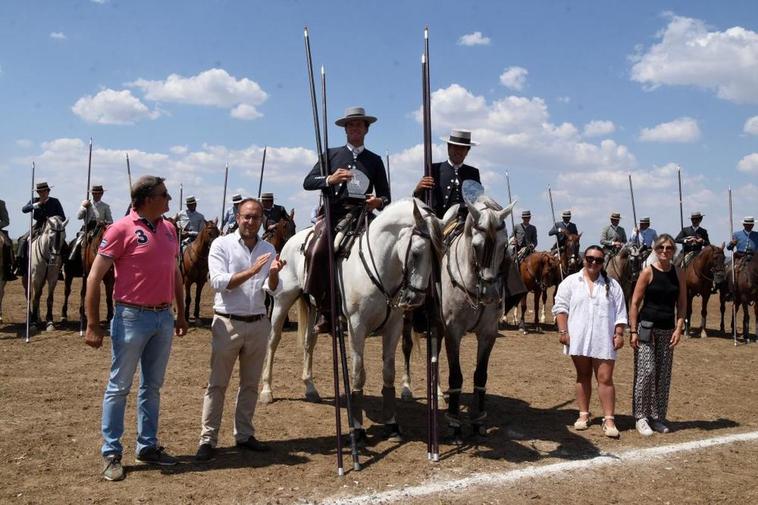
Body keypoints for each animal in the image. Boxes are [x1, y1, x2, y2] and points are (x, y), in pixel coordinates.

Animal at [262, 197, 452, 440]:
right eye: (417, 253)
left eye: (439, 256)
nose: (416, 298)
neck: (379, 266)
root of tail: (290, 243)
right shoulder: (356, 327)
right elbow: (358, 374)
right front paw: (358, 427)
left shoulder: (394, 327)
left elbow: (388, 373)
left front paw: (392, 423)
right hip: (282, 301)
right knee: (272, 341)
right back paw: (267, 391)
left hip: (313, 306)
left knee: (309, 342)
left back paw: (310, 388)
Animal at [440, 197, 516, 440]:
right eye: (476, 246)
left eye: (504, 246)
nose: (490, 294)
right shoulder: (452, 331)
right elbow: (456, 375)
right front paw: (454, 422)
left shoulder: (488, 333)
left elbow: (480, 375)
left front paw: (478, 420)